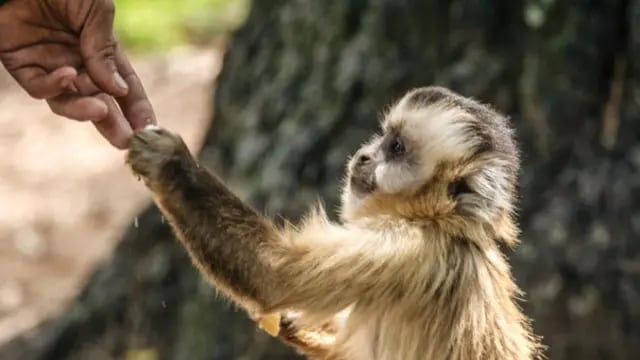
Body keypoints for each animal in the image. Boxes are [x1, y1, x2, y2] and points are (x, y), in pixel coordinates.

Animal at [126, 86, 544, 358]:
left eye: (395, 148)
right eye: (381, 137)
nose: (363, 156)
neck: (442, 224)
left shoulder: (405, 247)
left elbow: (273, 277)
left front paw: (171, 165)